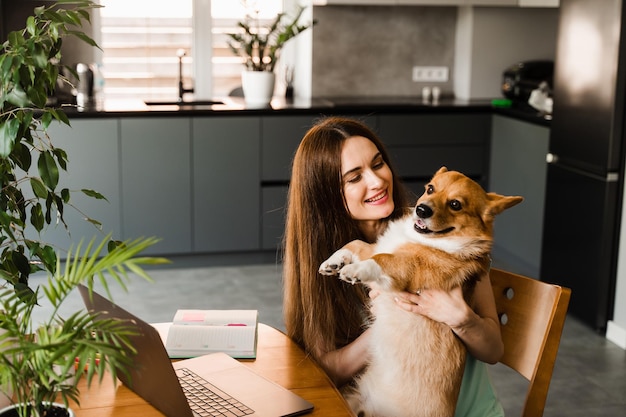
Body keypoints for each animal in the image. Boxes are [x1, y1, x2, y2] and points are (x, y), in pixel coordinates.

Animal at [320, 166, 520, 416]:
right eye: (430, 188)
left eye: (455, 204)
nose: (421, 209)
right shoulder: (376, 247)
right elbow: (355, 244)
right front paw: (333, 262)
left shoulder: (406, 268)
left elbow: (381, 259)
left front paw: (354, 270)